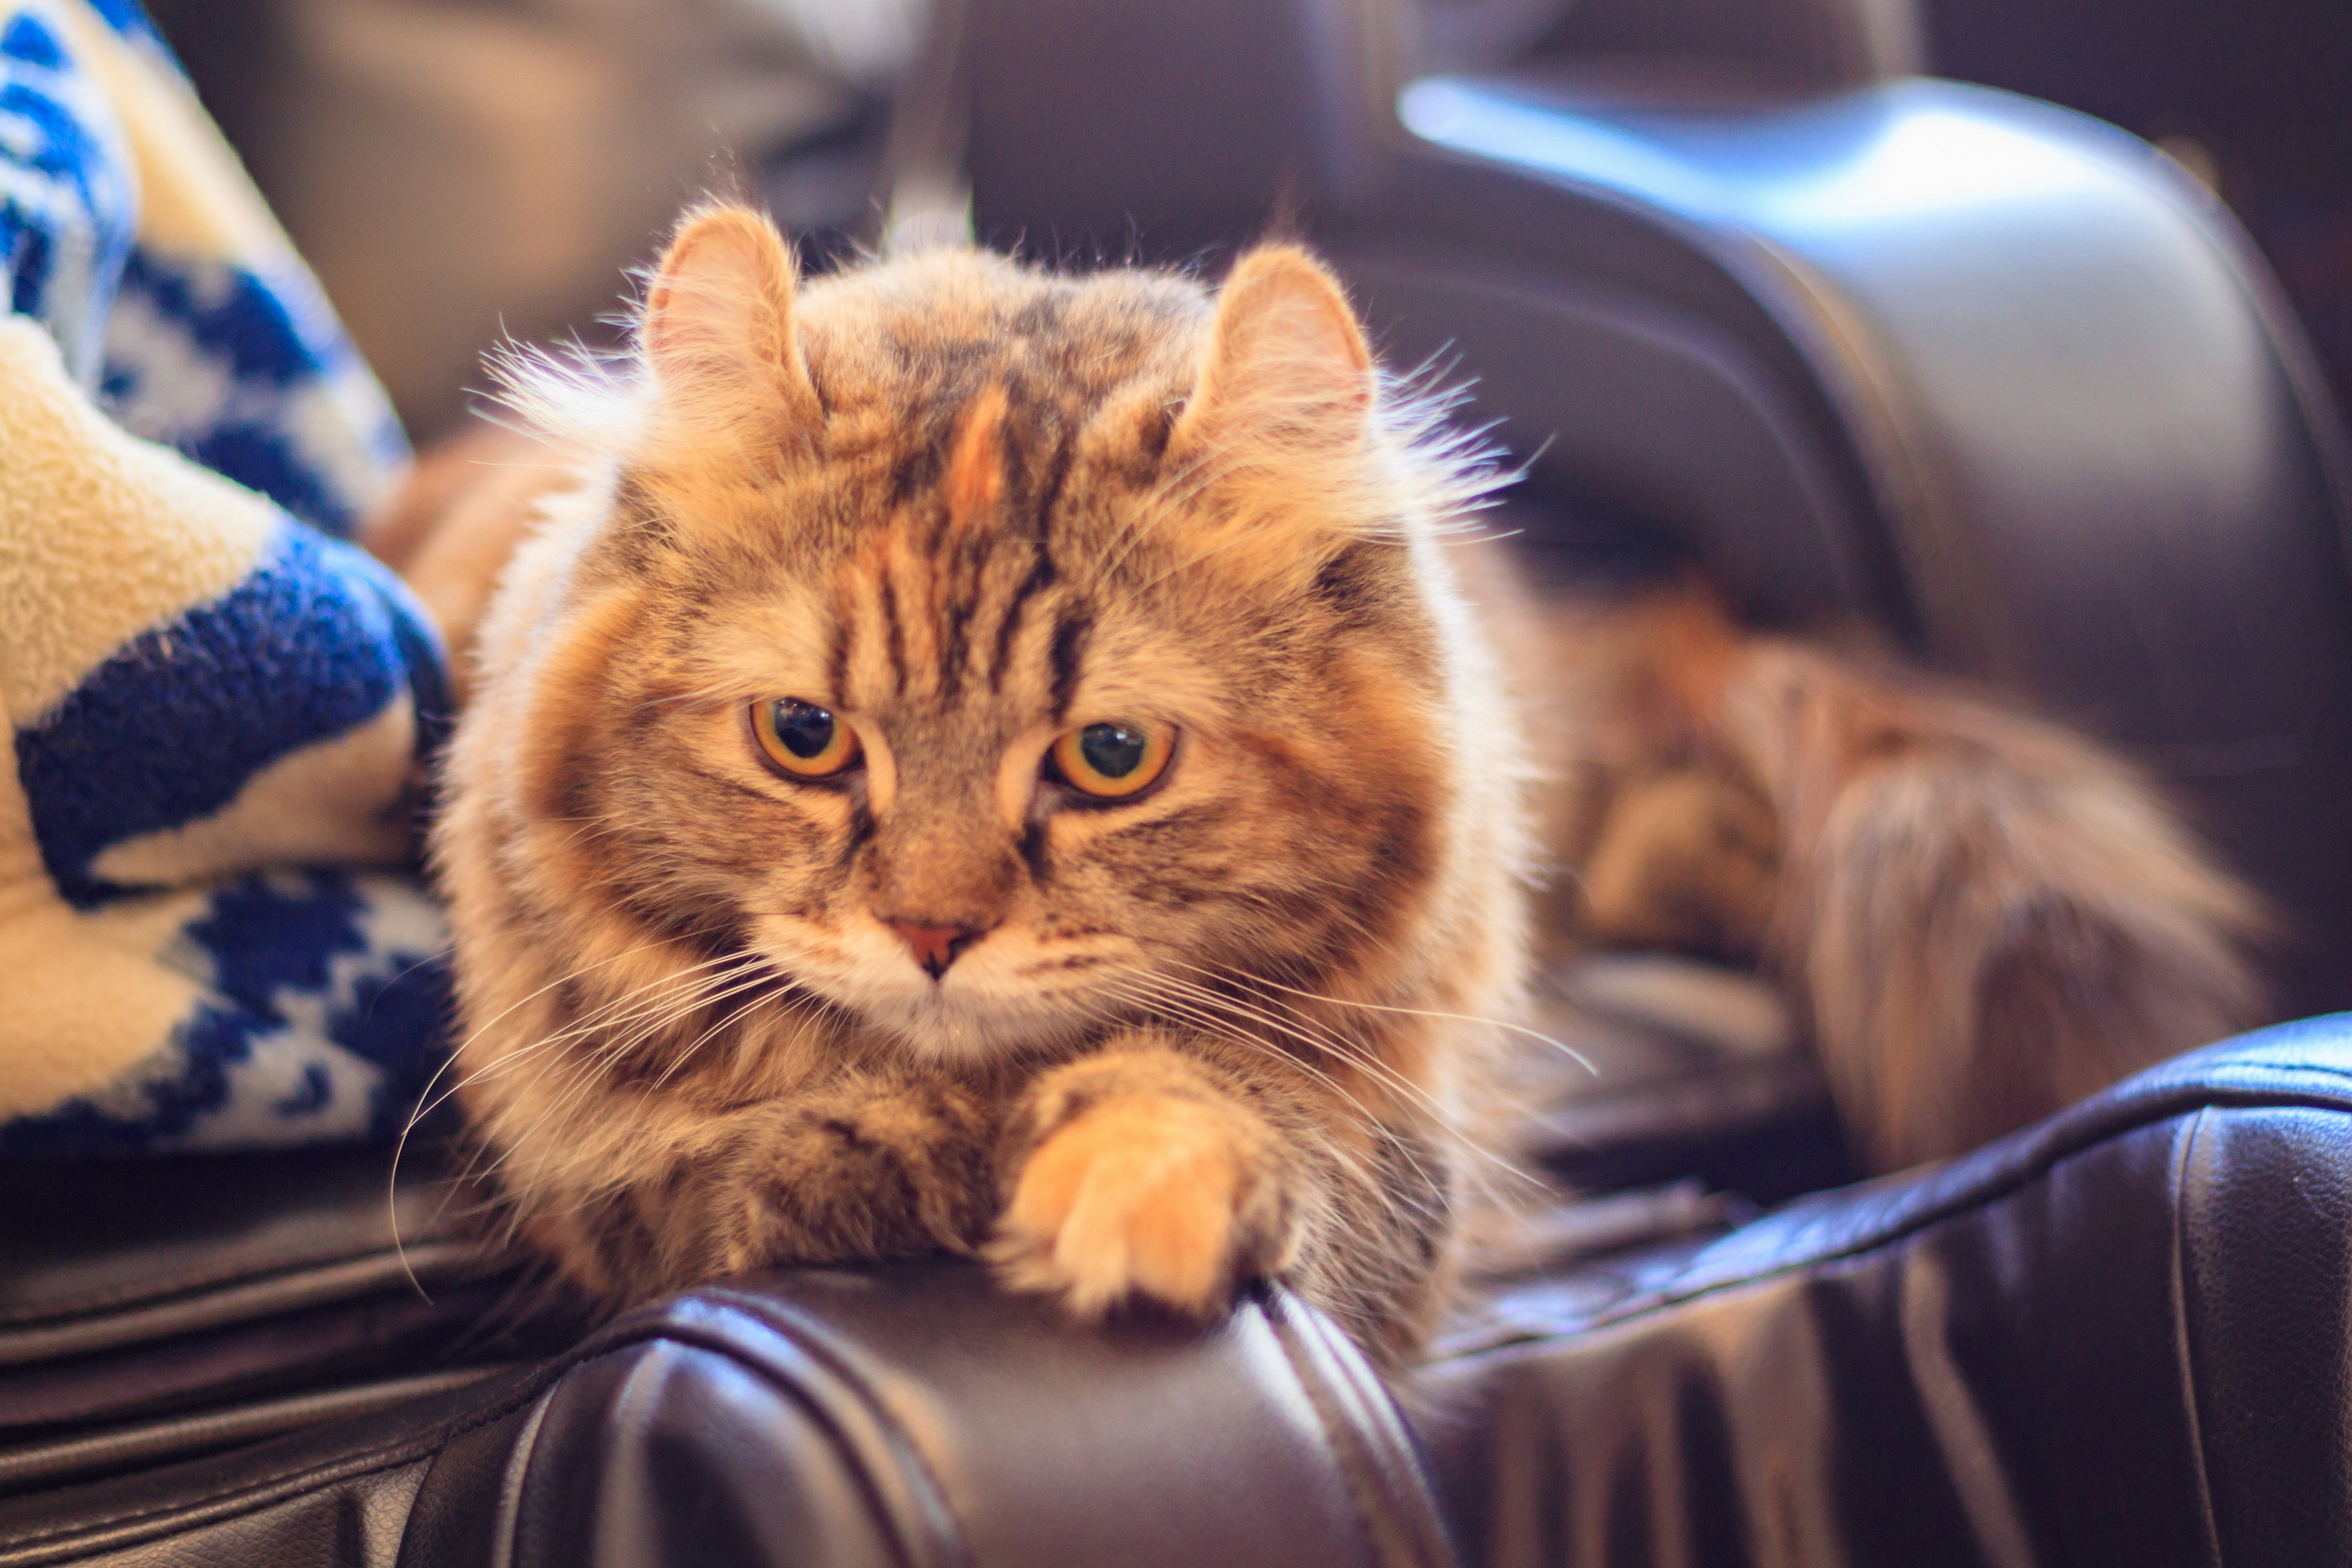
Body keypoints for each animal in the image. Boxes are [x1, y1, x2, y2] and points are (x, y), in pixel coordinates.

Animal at [376, 205, 2267, 1363]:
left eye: (1110, 757)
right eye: (803, 738)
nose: (931, 932)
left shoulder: (1401, 1143)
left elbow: (1241, 1113)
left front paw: (1133, 1183)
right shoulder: (596, 1173)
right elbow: (764, 1150)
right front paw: (920, 1141)